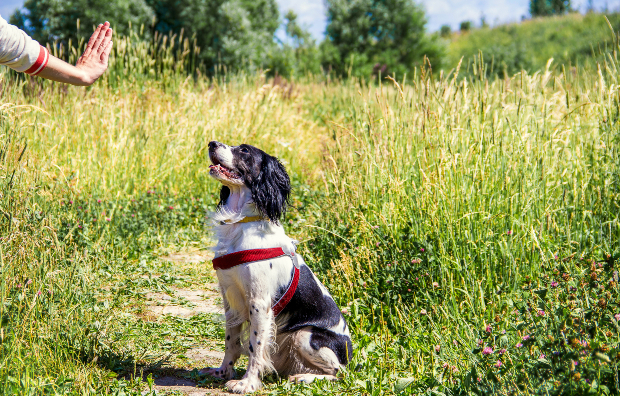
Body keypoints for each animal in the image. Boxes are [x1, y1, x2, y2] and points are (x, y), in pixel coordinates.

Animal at [201, 142, 352, 392]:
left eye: (244, 151)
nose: (212, 143)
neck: (242, 223)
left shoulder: (259, 303)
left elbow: (255, 347)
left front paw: (247, 383)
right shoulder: (230, 298)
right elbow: (231, 340)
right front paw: (223, 372)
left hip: (305, 335)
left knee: (340, 373)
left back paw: (304, 378)